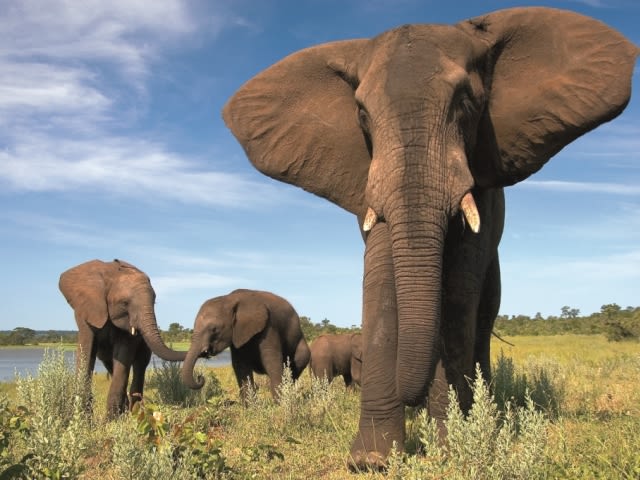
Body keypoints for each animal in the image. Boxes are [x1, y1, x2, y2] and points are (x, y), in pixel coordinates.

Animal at [59, 259, 186, 417]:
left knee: (140, 364)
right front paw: (82, 418)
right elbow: (86, 353)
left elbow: (124, 354)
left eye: (154, 302)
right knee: (110, 363)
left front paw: (111, 420)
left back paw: (135, 412)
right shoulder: (85, 311)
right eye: (125, 303)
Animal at [181, 289, 311, 402]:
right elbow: (240, 366)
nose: (200, 377)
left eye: (214, 329)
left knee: (296, 367)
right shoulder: (237, 334)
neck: (229, 299)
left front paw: (280, 405)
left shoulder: (269, 327)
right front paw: (249, 406)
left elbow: (272, 362)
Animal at [221, 7, 638, 469]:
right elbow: (381, 282)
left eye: (466, 102)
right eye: (361, 113)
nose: (411, 397)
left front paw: (449, 447)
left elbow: (456, 291)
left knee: (481, 318)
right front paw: (372, 460)